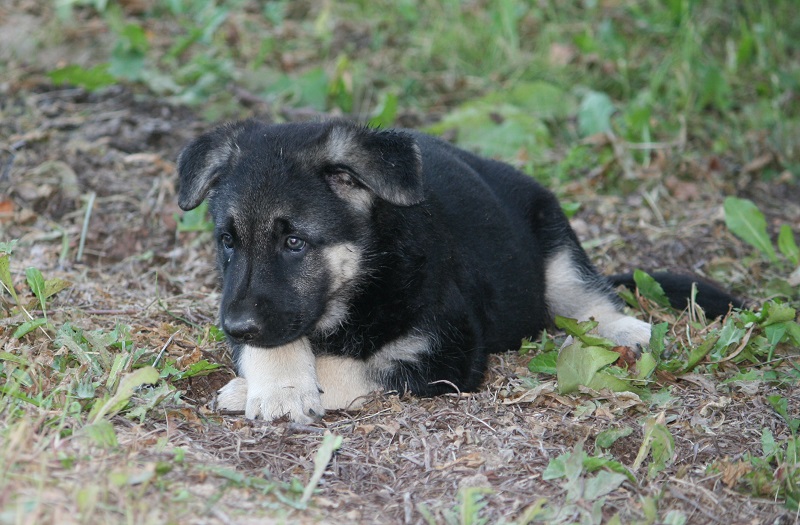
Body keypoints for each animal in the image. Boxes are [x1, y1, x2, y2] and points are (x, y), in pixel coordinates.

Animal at [178, 118, 740, 422]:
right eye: (227, 243)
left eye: (294, 242)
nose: (235, 326)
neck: (365, 279)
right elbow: (278, 345)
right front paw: (275, 384)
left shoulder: (446, 351)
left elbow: (356, 366)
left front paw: (286, 389)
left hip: (554, 238)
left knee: (585, 293)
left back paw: (624, 327)